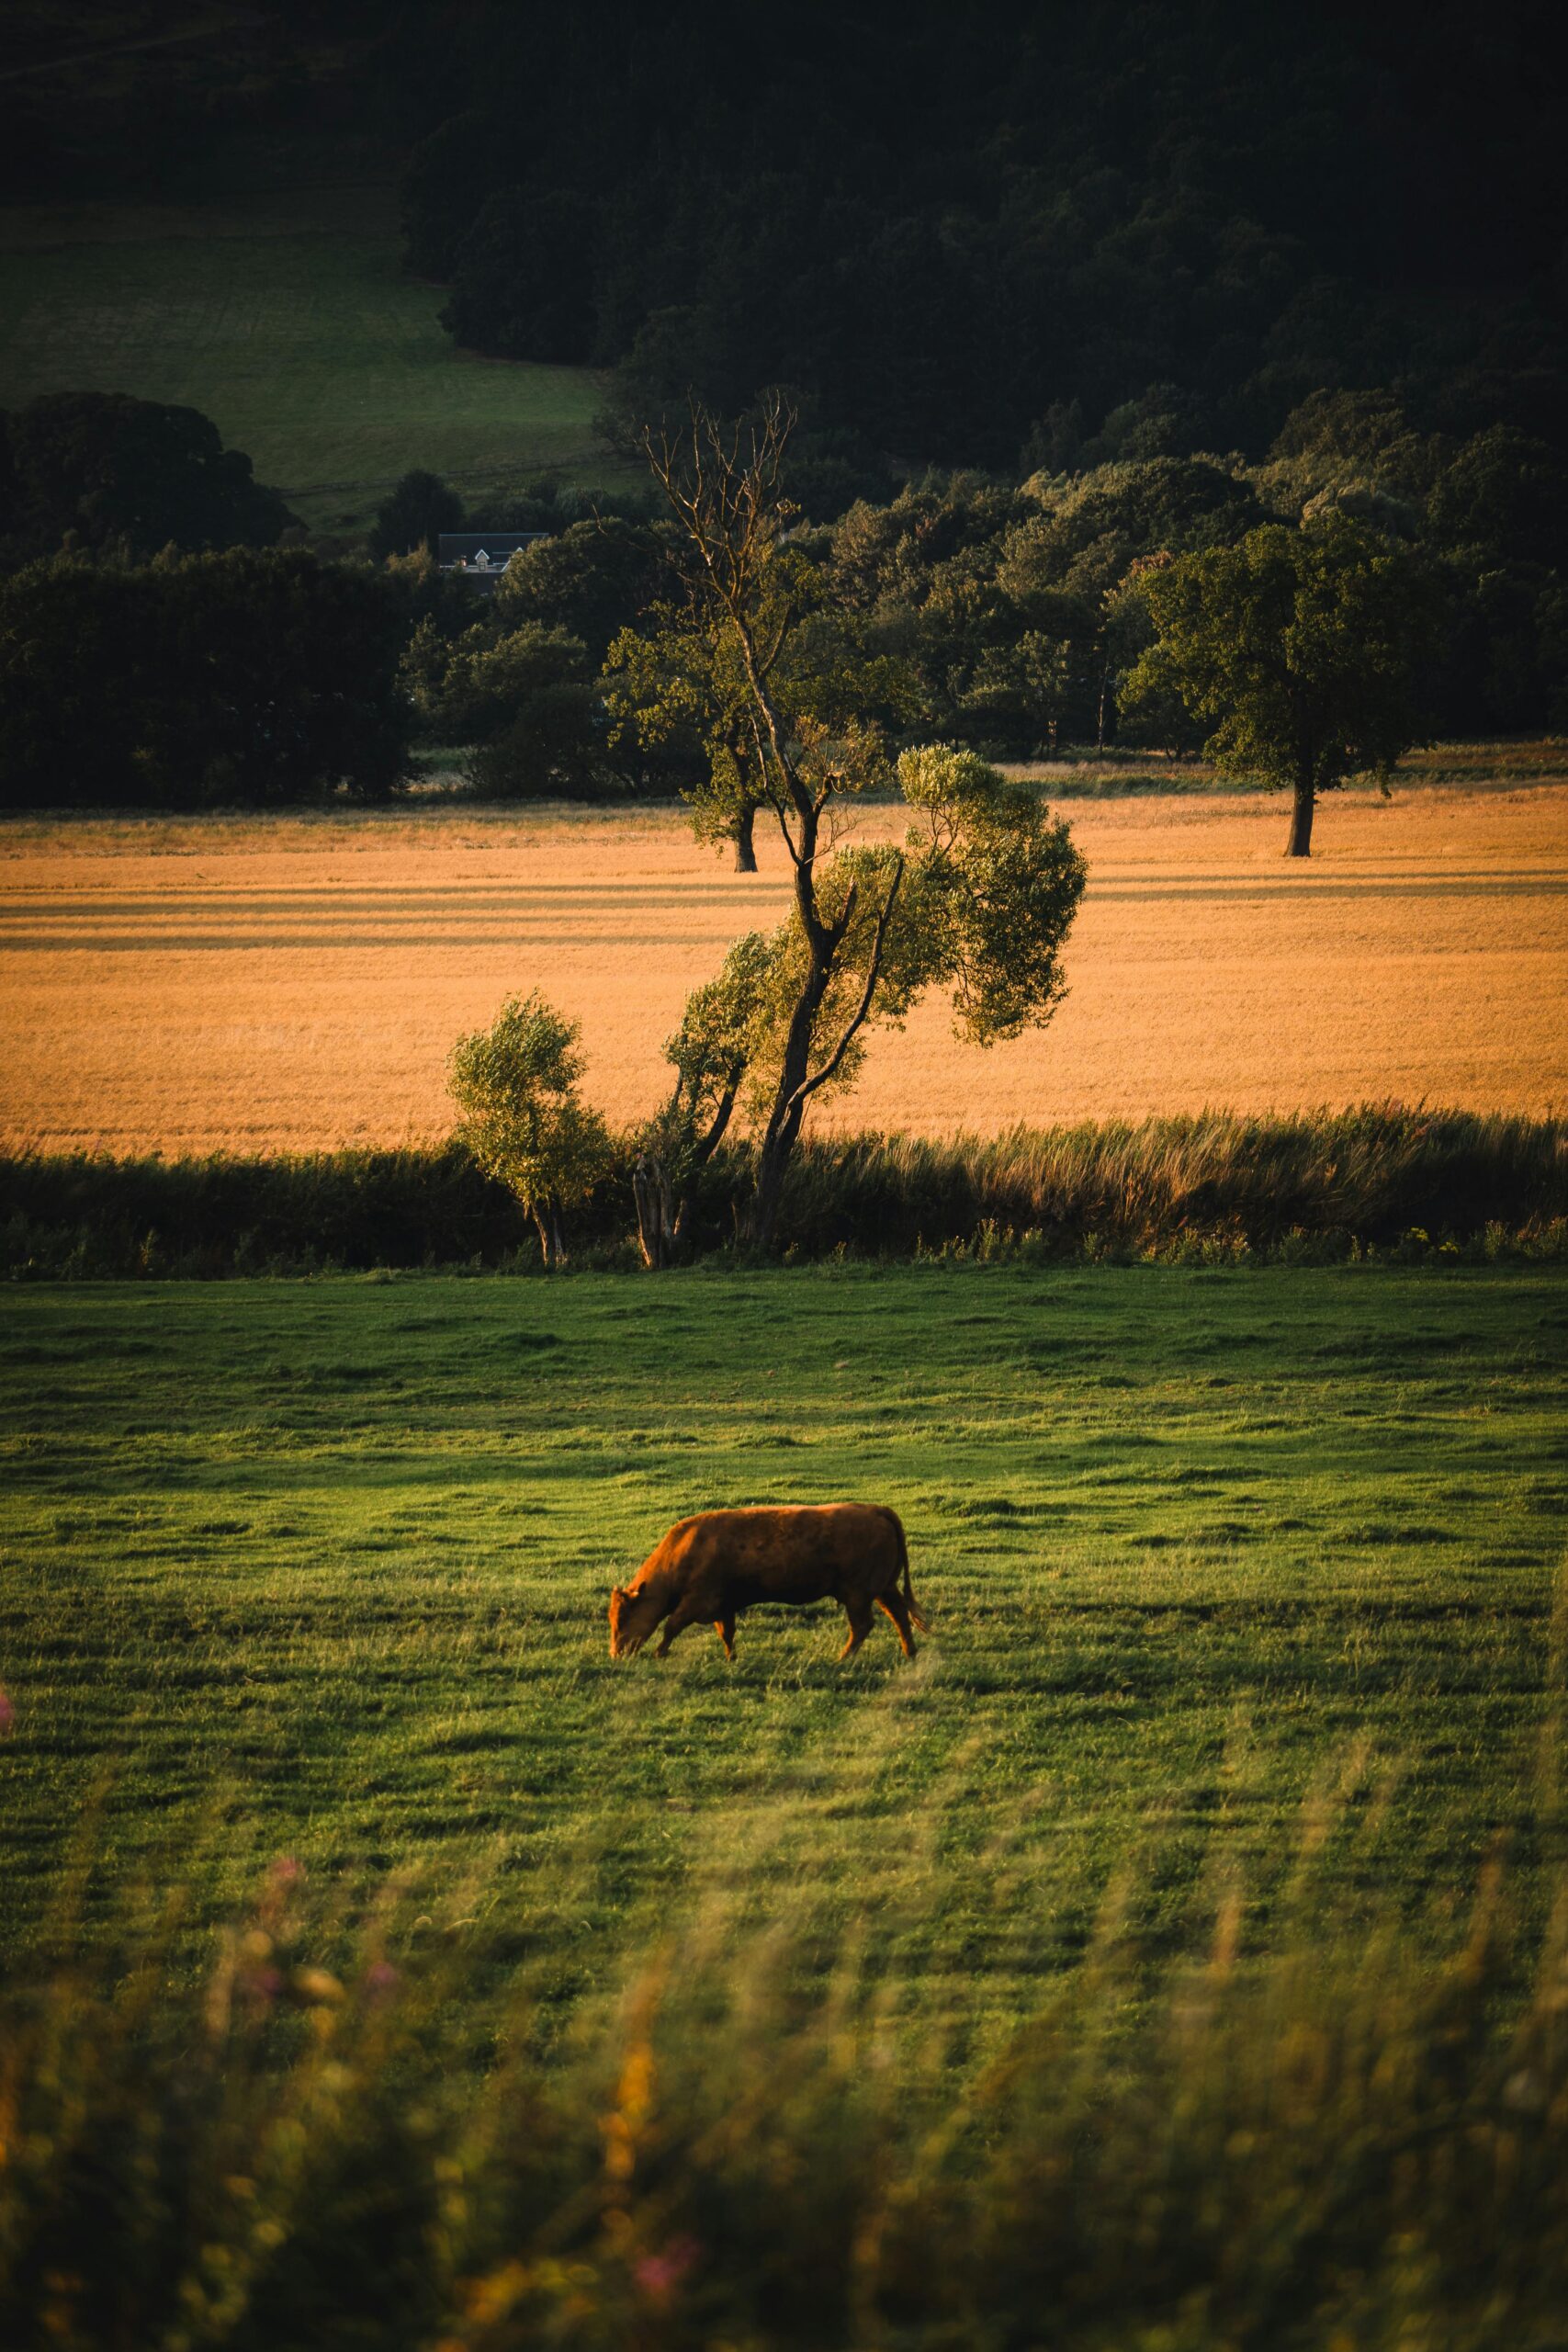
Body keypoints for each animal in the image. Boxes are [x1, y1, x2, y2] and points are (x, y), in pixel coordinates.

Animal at [608, 1503, 927, 1663]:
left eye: (622, 1619)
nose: (615, 1653)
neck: (687, 1549)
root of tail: (875, 1509)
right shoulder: (724, 1607)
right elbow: (727, 1633)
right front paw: (731, 1658)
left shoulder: (698, 1602)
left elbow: (672, 1625)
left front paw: (659, 1652)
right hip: (883, 1588)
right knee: (899, 1615)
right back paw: (910, 1652)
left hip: (858, 1594)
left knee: (862, 1625)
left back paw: (843, 1658)